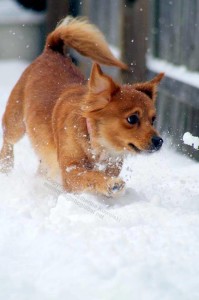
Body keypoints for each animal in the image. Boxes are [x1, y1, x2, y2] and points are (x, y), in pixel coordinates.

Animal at [0, 16, 164, 197]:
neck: (97, 144)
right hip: (16, 123)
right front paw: (110, 184)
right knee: (7, 141)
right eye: (132, 118)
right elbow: (92, 175)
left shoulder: (112, 164)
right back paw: (6, 165)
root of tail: (52, 50)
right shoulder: (70, 171)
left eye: (153, 119)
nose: (159, 141)